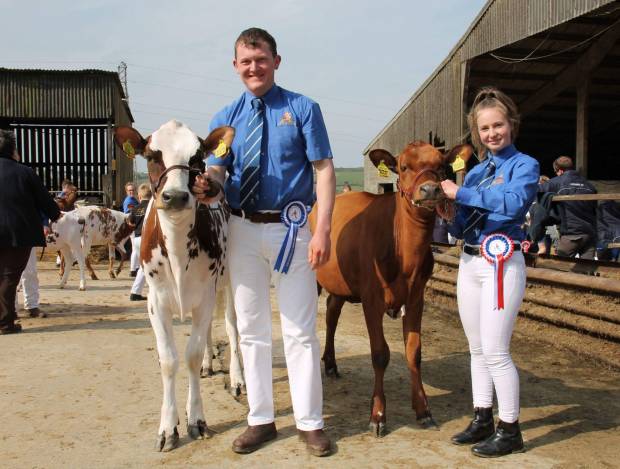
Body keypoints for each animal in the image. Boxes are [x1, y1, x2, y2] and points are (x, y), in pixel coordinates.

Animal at [114, 119, 242, 450]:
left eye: (197, 158)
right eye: (151, 156)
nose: (175, 196)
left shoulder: (206, 295)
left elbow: (191, 356)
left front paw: (195, 419)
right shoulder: (156, 302)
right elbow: (169, 360)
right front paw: (168, 427)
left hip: (228, 281)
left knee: (232, 328)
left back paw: (237, 378)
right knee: (209, 331)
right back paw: (211, 364)